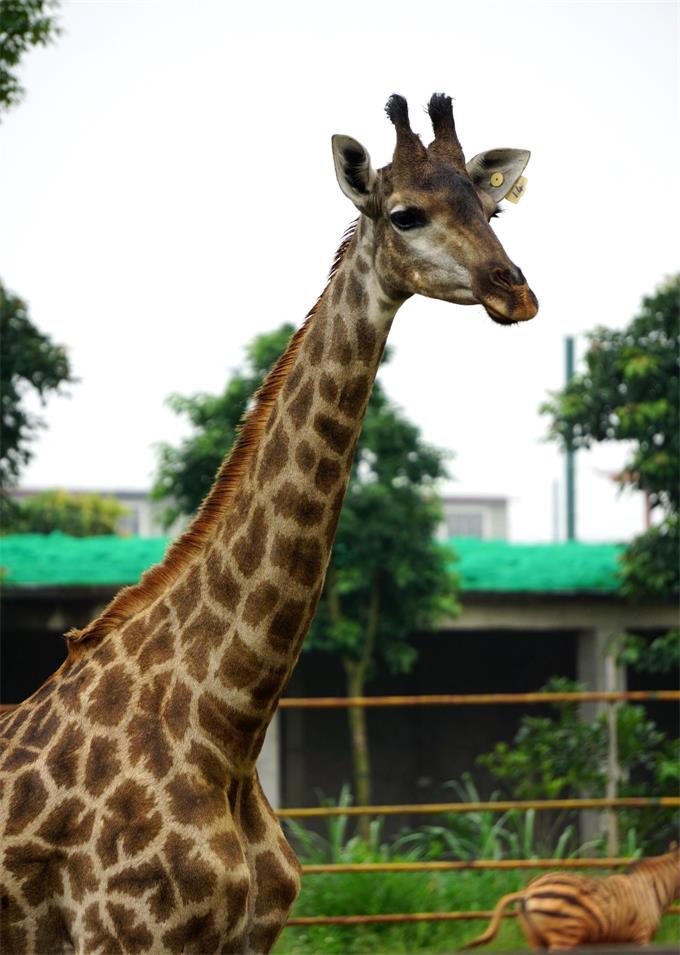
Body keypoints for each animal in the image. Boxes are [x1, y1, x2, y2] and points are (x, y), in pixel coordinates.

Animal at [0, 93, 538, 955]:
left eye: (492, 211)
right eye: (406, 214)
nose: (514, 290)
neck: (226, 728)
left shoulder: (250, 937)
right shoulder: (124, 935)